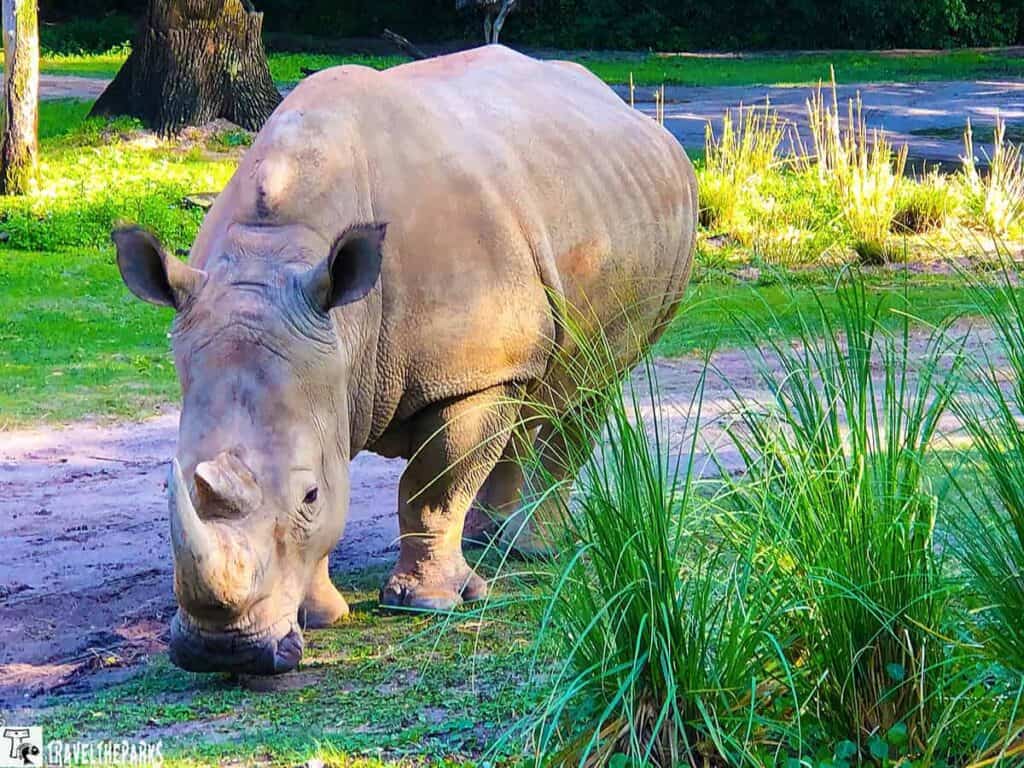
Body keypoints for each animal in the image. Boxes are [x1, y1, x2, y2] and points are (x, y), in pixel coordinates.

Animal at [113, 45, 697, 675]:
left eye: (307, 496)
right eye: (168, 488)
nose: (224, 652)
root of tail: (626, 109)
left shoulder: (467, 374)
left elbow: (434, 484)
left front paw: (428, 604)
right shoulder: (323, 374)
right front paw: (321, 617)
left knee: (587, 389)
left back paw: (532, 552)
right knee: (532, 388)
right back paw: (490, 544)